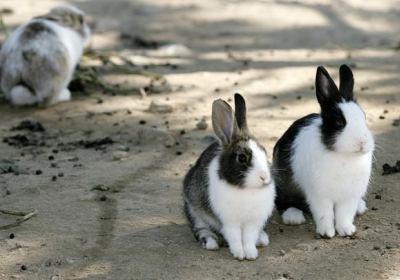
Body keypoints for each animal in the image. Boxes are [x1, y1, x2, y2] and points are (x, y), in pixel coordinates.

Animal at [184, 93, 276, 260]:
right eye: (242, 158)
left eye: (265, 152)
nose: (264, 177)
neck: (246, 189)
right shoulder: (229, 221)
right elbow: (234, 237)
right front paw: (239, 254)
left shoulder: (253, 222)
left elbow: (248, 238)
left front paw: (250, 254)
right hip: (194, 210)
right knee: (200, 229)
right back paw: (210, 243)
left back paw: (262, 239)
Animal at [274, 65, 374, 238]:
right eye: (339, 123)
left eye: (364, 117)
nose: (362, 142)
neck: (343, 156)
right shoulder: (319, 195)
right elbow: (324, 213)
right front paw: (327, 232)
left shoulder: (349, 196)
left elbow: (344, 214)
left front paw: (346, 230)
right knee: (282, 201)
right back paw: (293, 216)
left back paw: (360, 207)